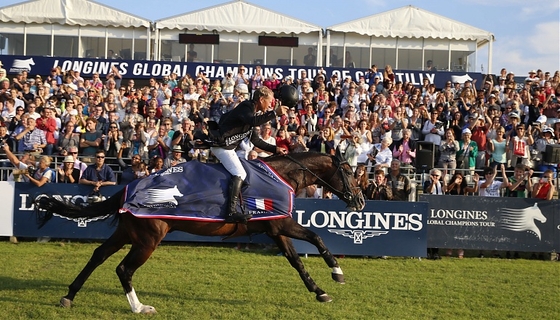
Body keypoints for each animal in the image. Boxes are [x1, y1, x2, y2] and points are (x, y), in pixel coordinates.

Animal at [35, 151, 368, 314]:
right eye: (349, 172)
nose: (361, 201)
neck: (282, 175)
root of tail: (128, 188)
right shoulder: (281, 224)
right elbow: (316, 237)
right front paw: (337, 273)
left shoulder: (275, 228)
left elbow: (297, 262)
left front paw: (319, 291)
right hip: (148, 239)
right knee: (123, 269)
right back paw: (139, 307)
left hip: (128, 234)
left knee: (98, 255)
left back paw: (69, 296)